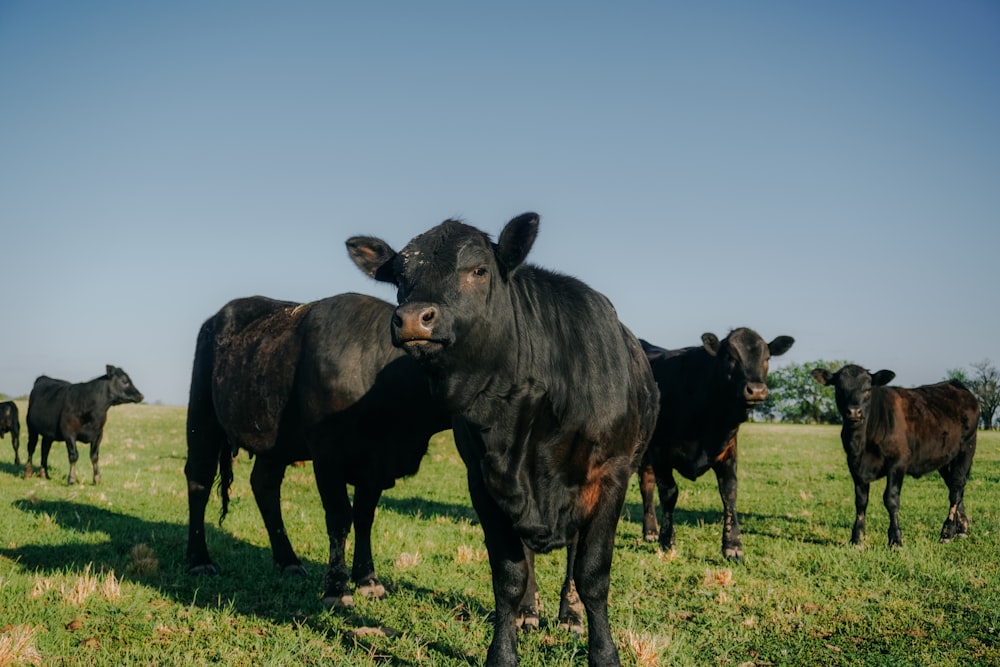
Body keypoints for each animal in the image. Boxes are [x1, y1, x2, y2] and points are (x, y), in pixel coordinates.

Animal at [185, 294, 450, 608]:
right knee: (199, 481)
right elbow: (339, 516)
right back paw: (198, 560)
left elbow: (364, 517)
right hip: (201, 417)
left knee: (264, 486)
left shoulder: (374, 466)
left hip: (275, 444)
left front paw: (368, 580)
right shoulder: (328, 457)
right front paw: (337, 588)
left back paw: (288, 560)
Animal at [348, 214, 660, 667]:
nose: (412, 318)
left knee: (573, 555)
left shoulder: (611, 477)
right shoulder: (484, 481)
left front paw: (603, 653)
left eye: (479, 270)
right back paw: (529, 614)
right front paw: (503, 650)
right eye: (400, 279)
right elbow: (509, 576)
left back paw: (569, 615)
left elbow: (592, 573)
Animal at [636, 328, 792, 560]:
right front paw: (667, 540)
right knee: (646, 484)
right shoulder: (660, 453)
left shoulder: (728, 451)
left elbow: (729, 493)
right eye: (730, 357)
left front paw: (733, 545)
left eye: (767, 358)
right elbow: (669, 494)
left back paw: (650, 531)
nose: (756, 390)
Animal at [812, 366, 976, 548]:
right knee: (955, 488)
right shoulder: (854, 465)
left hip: (966, 449)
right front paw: (857, 538)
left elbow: (891, 499)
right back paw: (961, 529)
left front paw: (896, 539)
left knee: (956, 488)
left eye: (867, 389)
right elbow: (861, 501)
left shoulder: (897, 463)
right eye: (839, 388)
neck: (861, 442)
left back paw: (947, 532)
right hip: (944, 459)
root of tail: (956, 384)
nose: (854, 411)